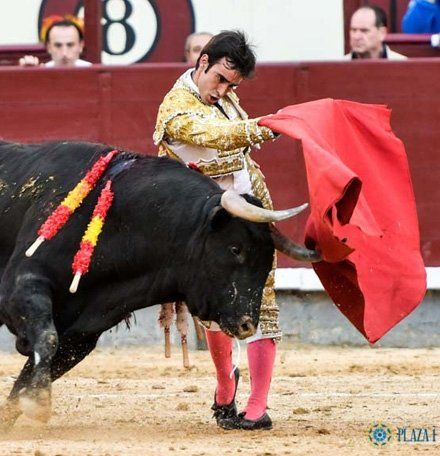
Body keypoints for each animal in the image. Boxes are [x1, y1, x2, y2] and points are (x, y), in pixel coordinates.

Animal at [0, 140, 319, 430]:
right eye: (235, 249)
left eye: (268, 260)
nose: (246, 325)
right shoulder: (23, 284)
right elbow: (47, 339)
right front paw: (38, 403)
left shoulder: (85, 330)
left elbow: (38, 366)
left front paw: (14, 412)